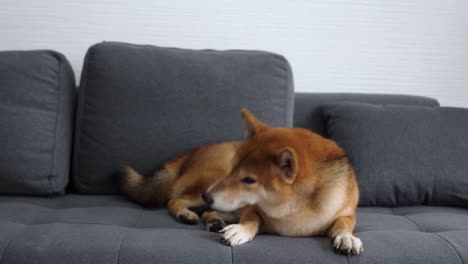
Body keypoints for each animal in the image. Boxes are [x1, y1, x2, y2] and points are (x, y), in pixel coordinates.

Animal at [119, 108, 362, 255]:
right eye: (234, 166)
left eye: (249, 180)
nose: (208, 195)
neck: (294, 208)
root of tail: (192, 152)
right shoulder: (251, 208)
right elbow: (252, 220)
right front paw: (241, 231)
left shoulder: (346, 212)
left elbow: (343, 223)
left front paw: (346, 238)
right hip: (208, 182)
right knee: (175, 200)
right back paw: (186, 214)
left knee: (207, 210)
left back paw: (214, 221)